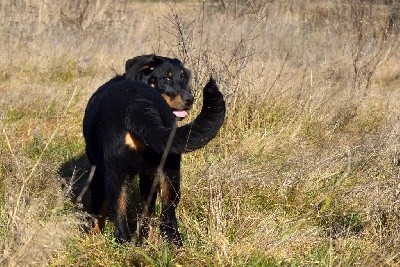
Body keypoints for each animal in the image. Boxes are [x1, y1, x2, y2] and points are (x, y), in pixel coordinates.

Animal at [82, 55, 225, 247]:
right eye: (166, 78)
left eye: (183, 77)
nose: (190, 99)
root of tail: (138, 105)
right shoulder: (149, 175)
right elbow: (147, 211)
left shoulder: (98, 171)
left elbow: (98, 209)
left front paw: (94, 236)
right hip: (170, 172)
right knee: (167, 215)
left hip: (116, 173)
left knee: (120, 216)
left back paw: (125, 245)